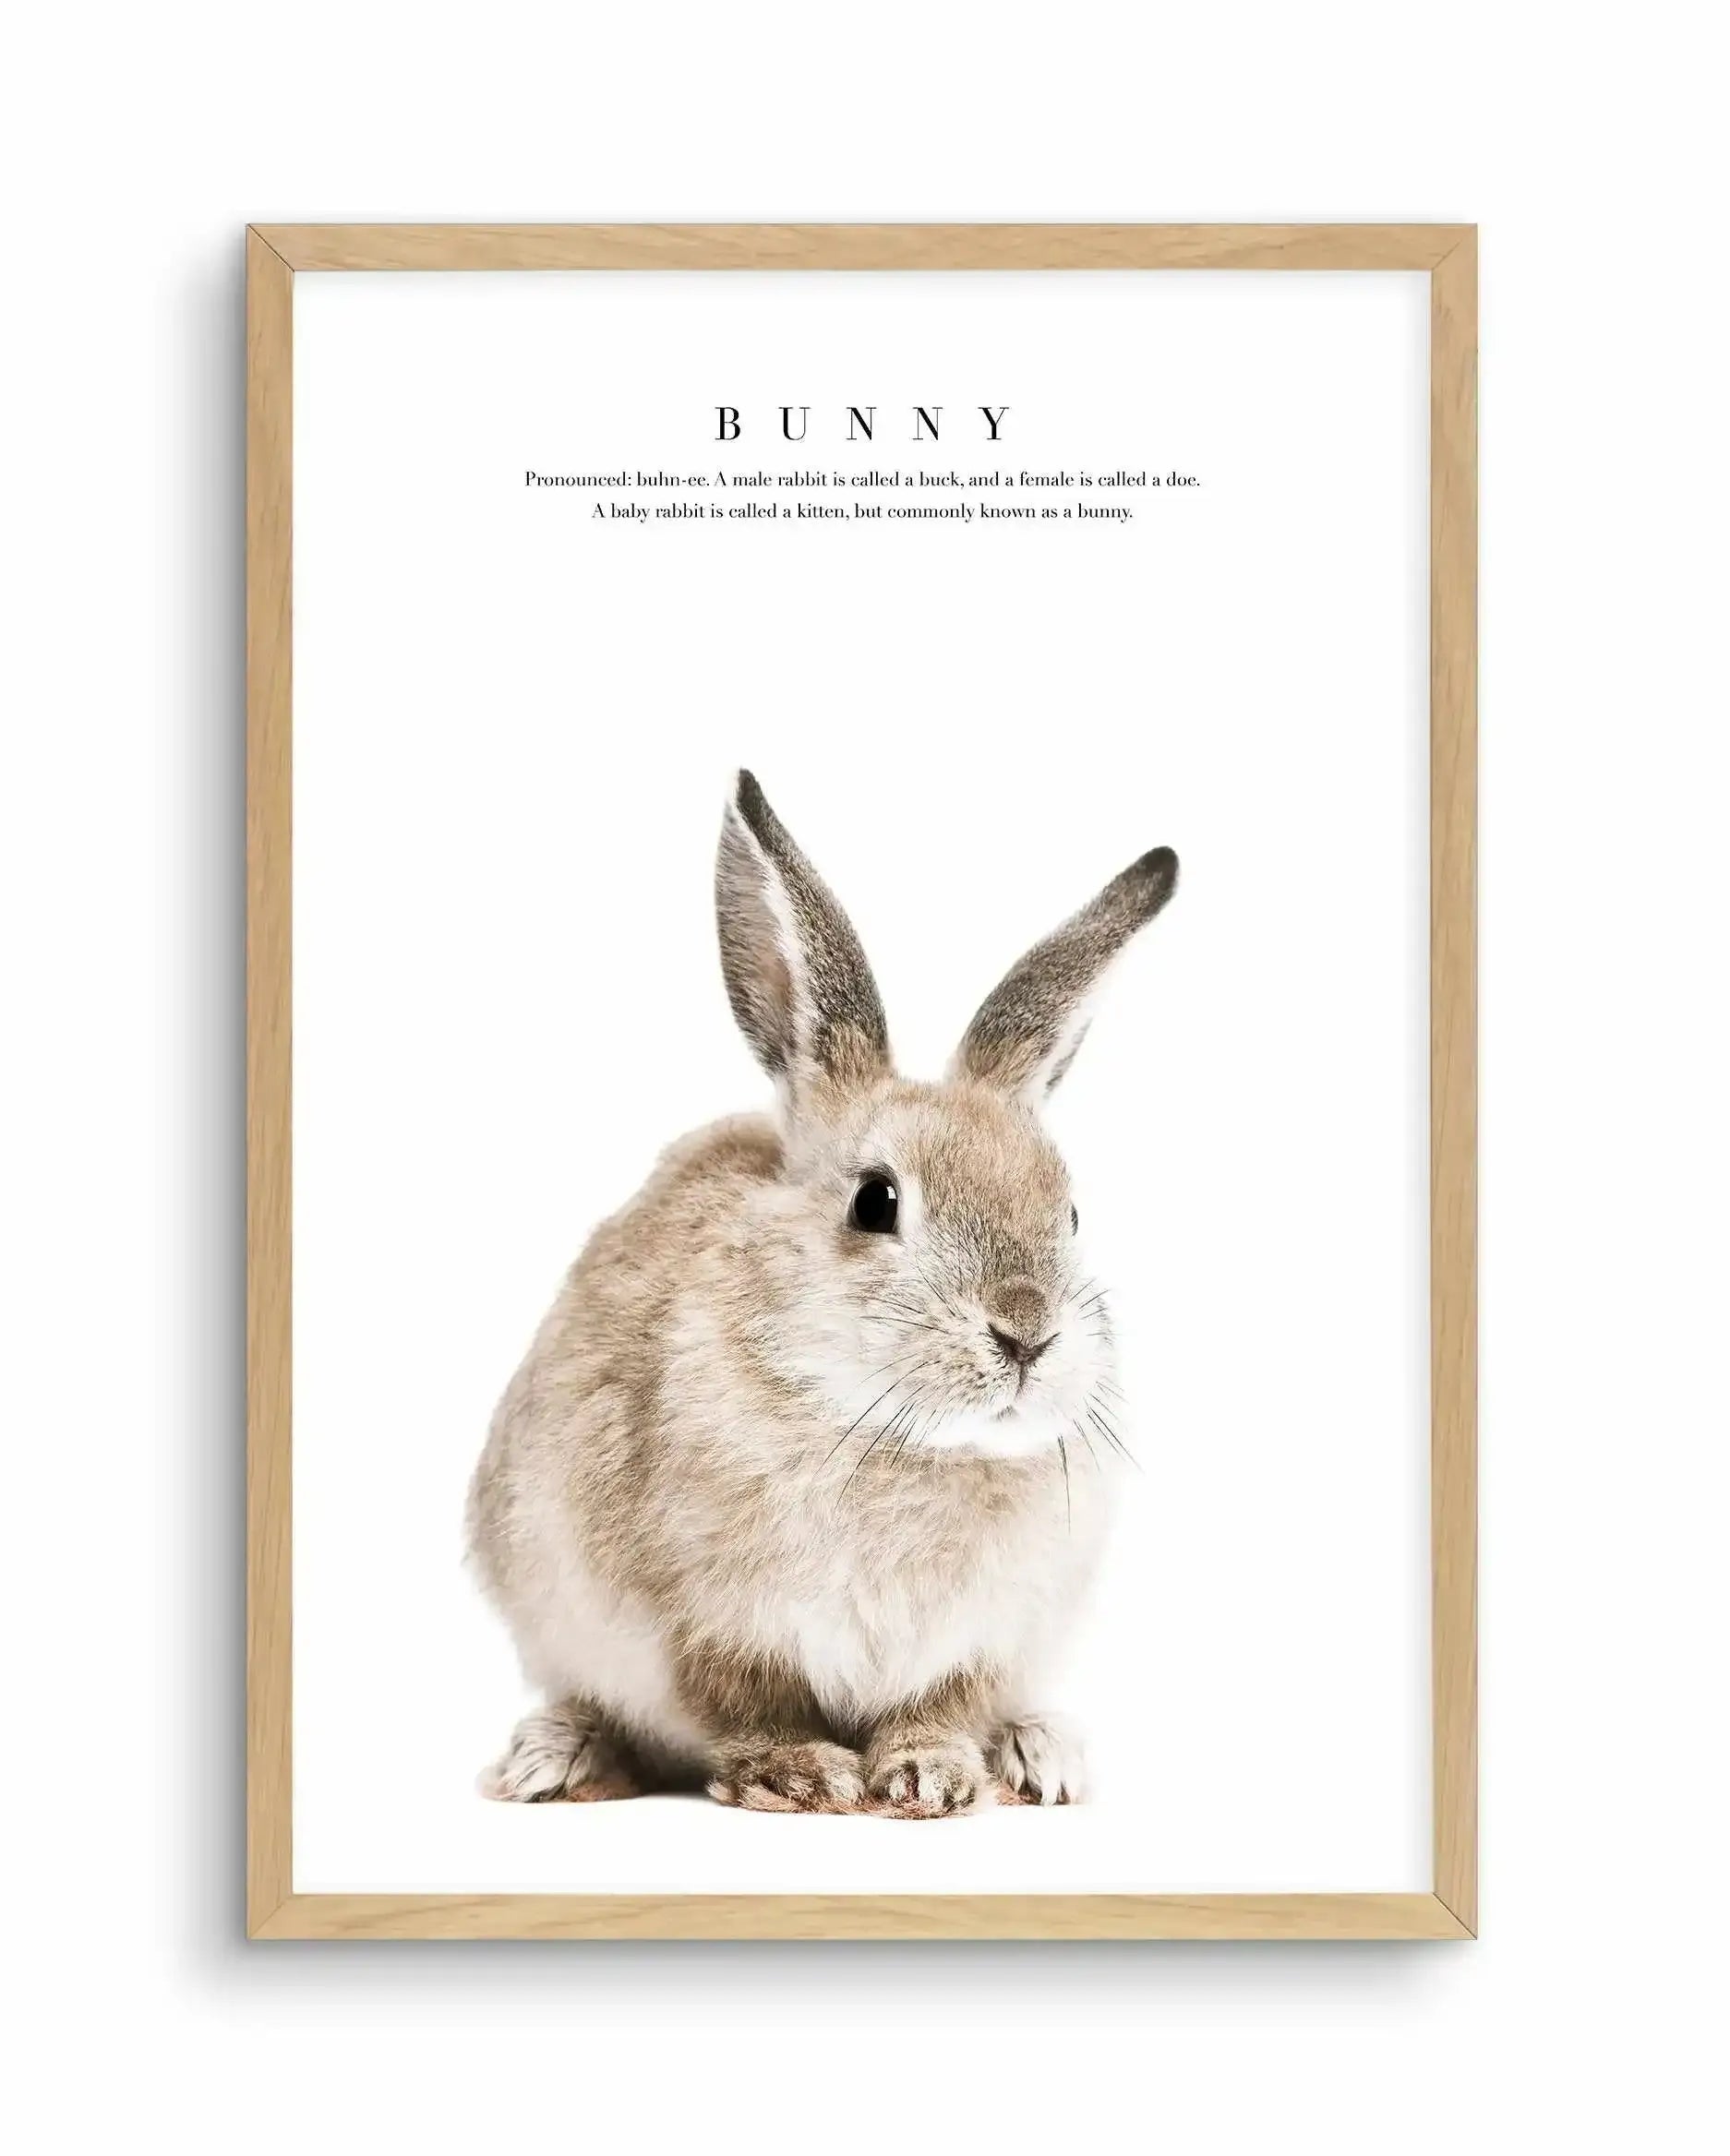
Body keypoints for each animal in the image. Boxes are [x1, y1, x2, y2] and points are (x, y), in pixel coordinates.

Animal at [466, 771, 1178, 1816]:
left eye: (1073, 1212)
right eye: (876, 1200)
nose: (1026, 1332)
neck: (896, 1437)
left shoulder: (980, 1640)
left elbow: (938, 1707)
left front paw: (931, 1776)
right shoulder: (700, 1625)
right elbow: (748, 1706)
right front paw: (802, 1773)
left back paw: (1039, 1755)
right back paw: (553, 1759)